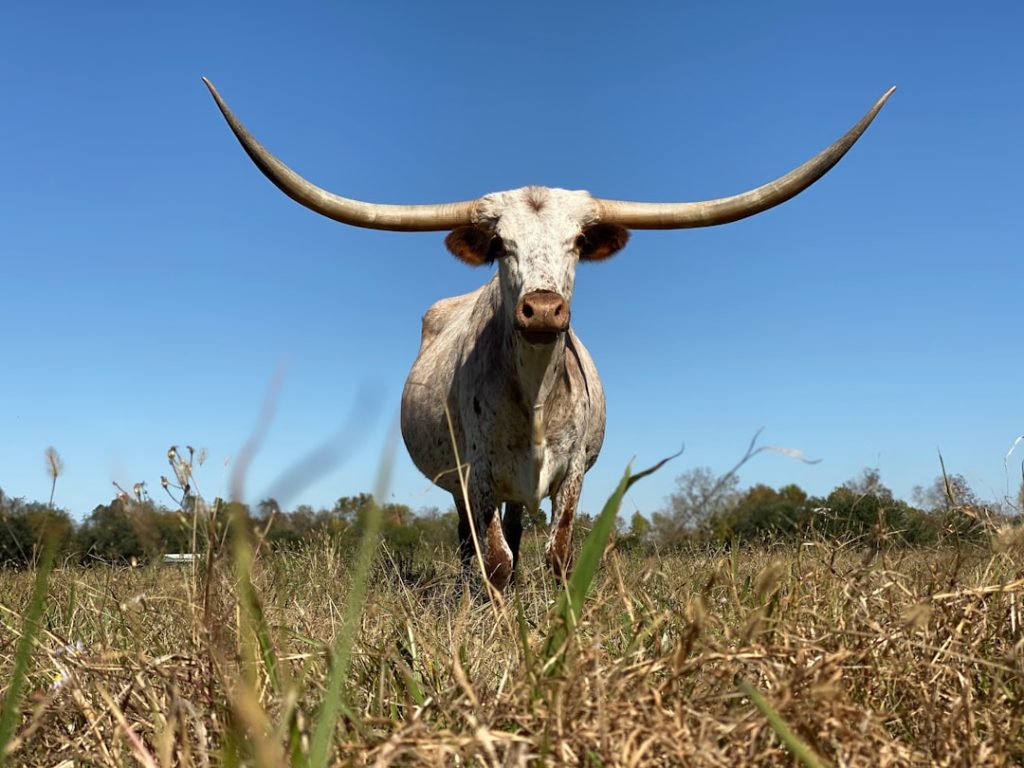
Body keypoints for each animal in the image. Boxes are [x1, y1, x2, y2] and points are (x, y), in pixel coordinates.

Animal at [204, 79, 893, 590]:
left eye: (577, 244)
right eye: (501, 245)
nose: (541, 311)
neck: (533, 393)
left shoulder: (575, 471)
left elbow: (558, 557)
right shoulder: (478, 472)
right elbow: (496, 562)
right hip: (463, 483)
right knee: (472, 547)